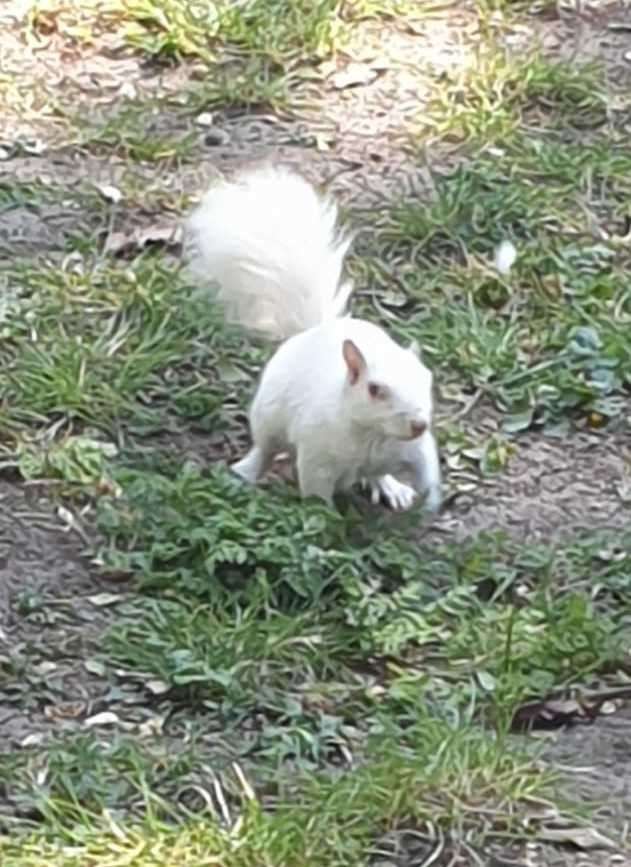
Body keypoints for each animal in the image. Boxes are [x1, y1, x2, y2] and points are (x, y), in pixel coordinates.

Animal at [183, 165, 442, 512]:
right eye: (374, 389)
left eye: (427, 380)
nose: (418, 424)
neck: (374, 436)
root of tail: (315, 331)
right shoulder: (317, 455)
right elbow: (317, 495)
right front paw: (326, 519)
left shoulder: (418, 450)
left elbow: (428, 473)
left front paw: (430, 502)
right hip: (267, 417)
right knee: (266, 449)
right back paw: (245, 472)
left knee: (377, 474)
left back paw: (391, 486)